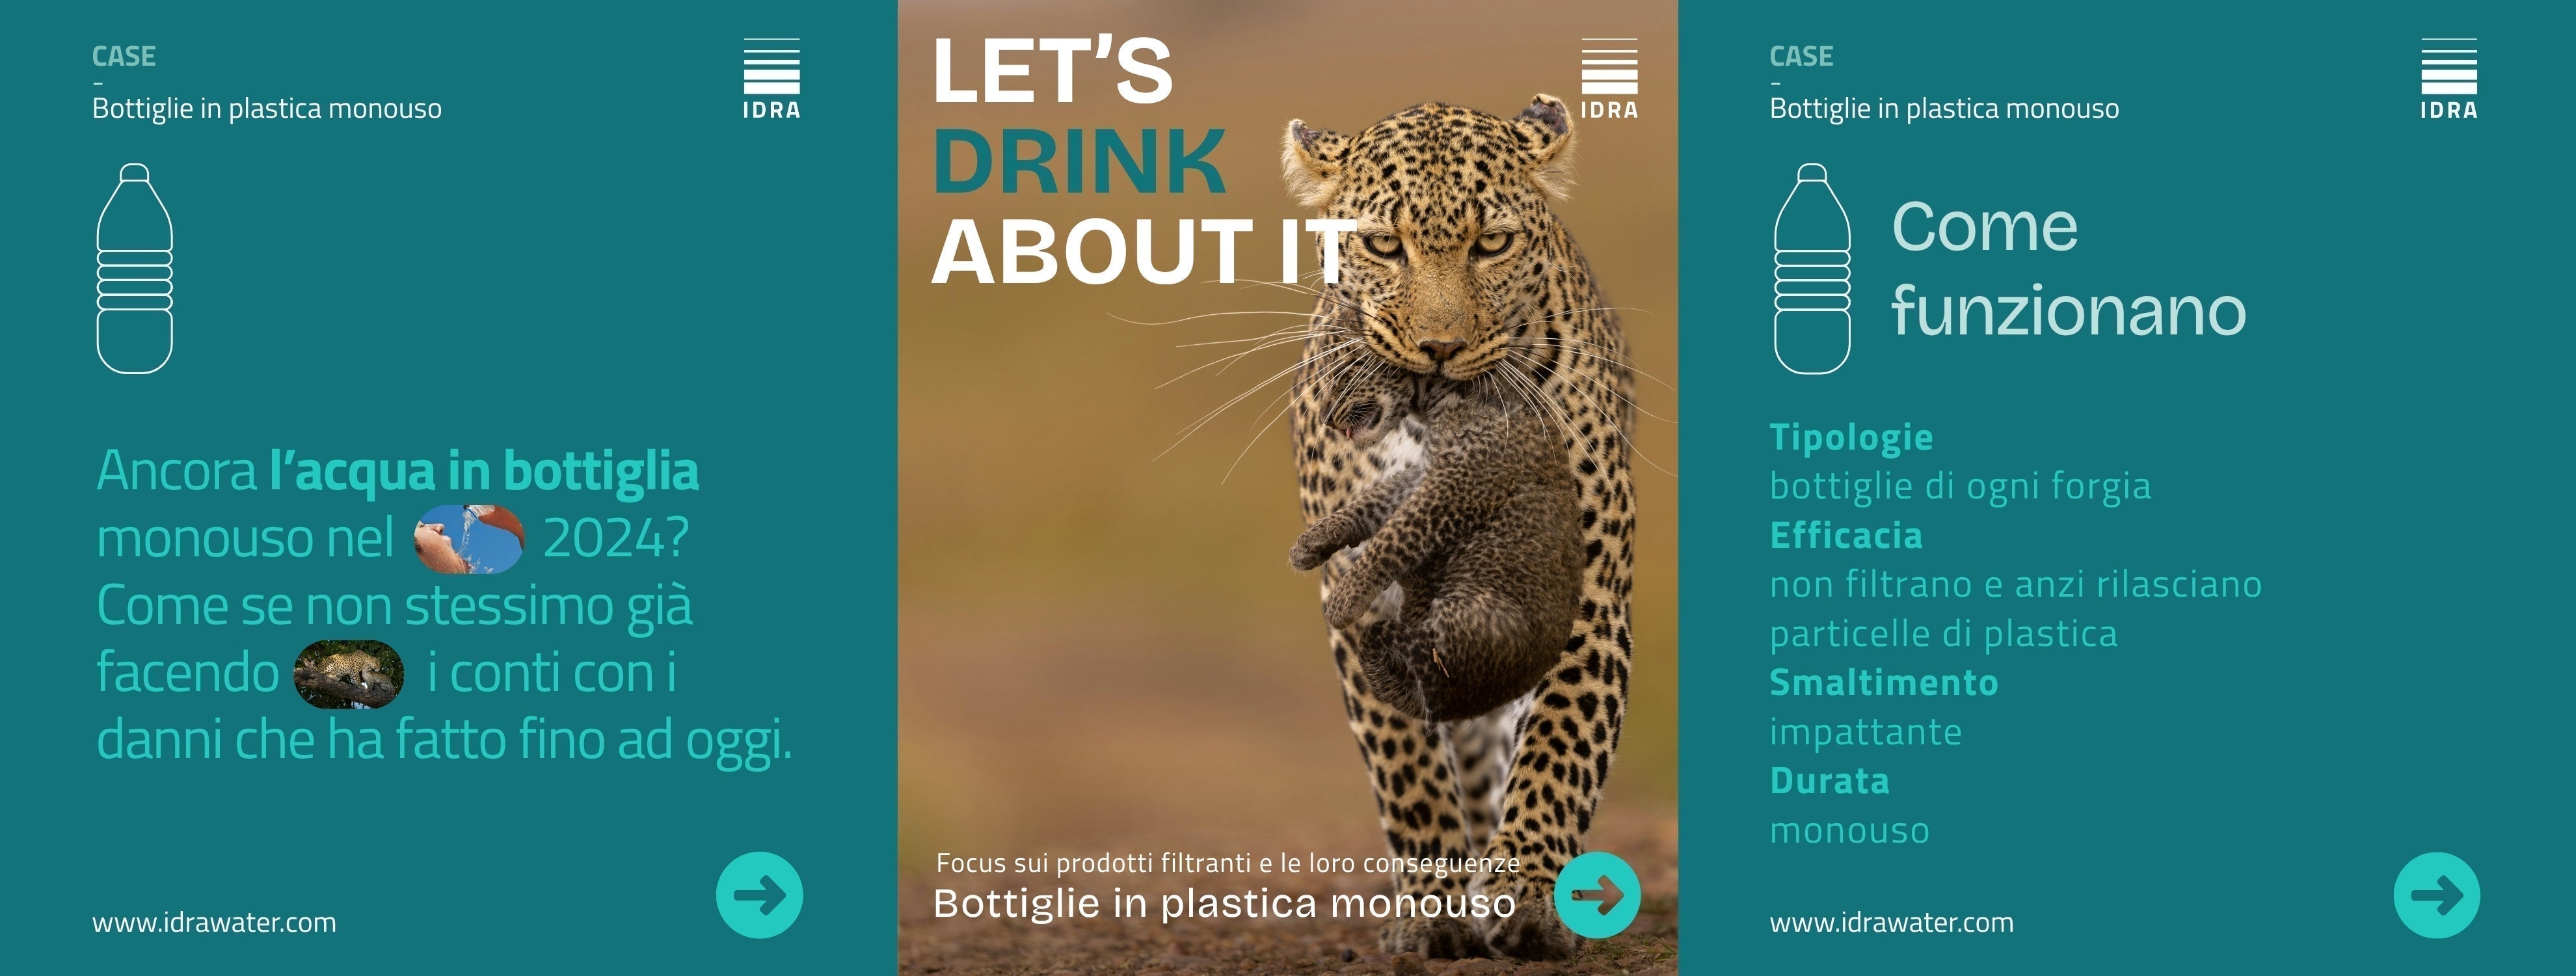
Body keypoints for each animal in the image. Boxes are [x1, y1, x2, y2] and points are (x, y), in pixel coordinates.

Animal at [1286, 365, 1585, 726]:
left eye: (1347, 374)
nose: (1327, 419)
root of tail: (1469, 705)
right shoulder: (1427, 473)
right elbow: (1374, 501)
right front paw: (1314, 542)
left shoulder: (1455, 484)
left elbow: (1396, 535)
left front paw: (1344, 600)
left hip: (1475, 614)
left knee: (1423, 651)